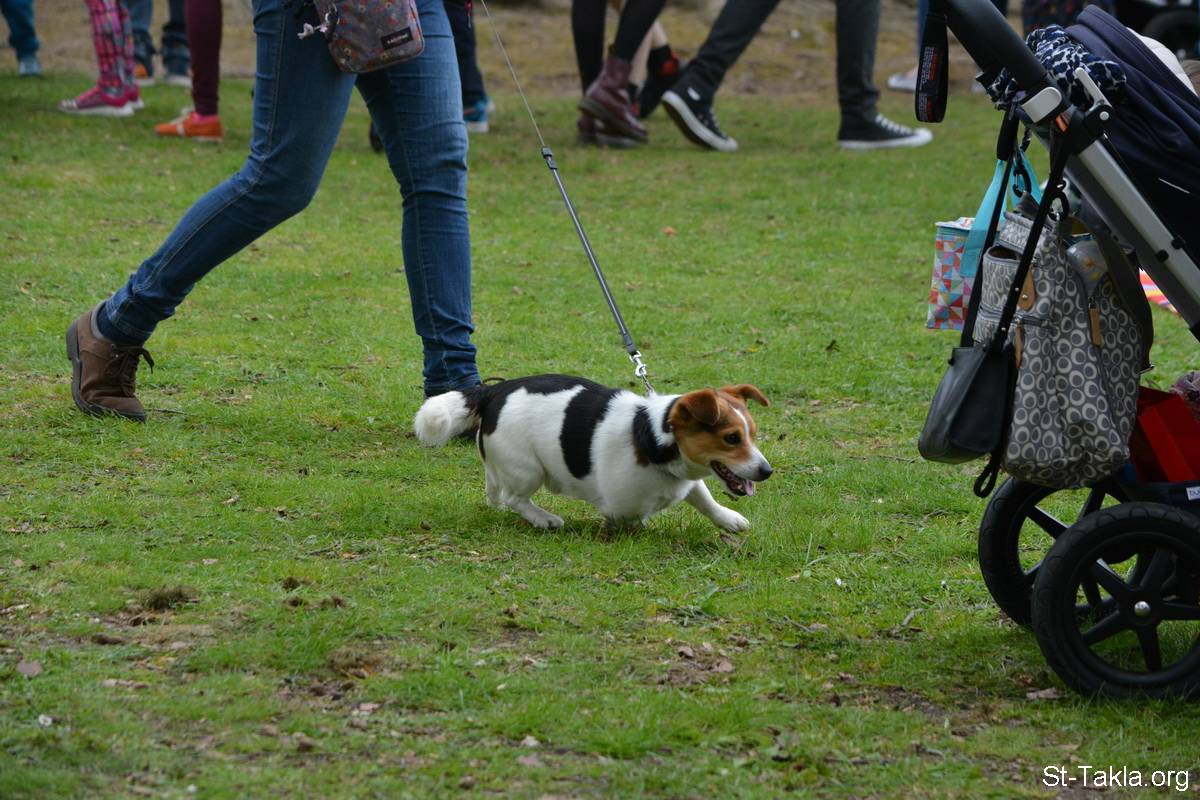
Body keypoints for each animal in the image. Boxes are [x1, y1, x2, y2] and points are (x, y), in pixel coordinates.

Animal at [413, 375, 772, 531]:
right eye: (731, 438)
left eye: (752, 435)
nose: (767, 471)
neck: (649, 436)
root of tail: (494, 390)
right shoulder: (620, 509)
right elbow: (633, 518)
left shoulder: (686, 479)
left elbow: (703, 498)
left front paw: (728, 519)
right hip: (528, 470)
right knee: (514, 498)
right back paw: (543, 518)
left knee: (496, 487)